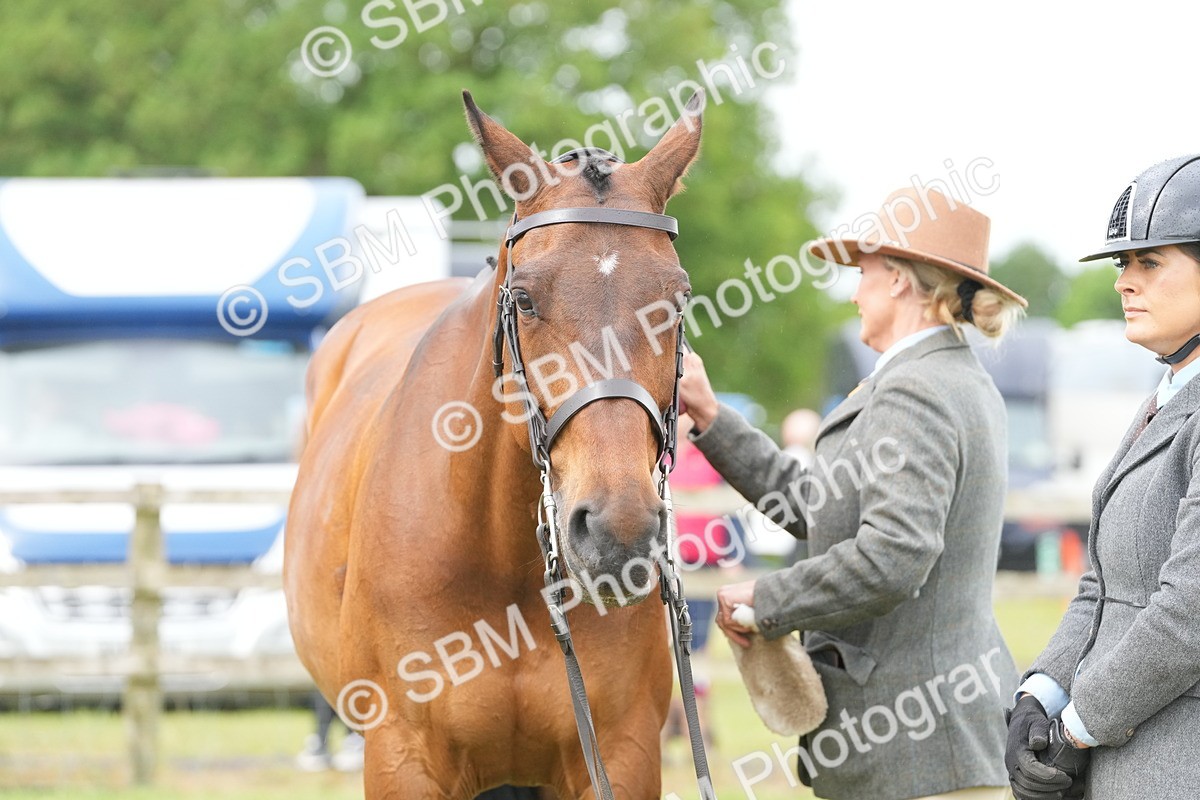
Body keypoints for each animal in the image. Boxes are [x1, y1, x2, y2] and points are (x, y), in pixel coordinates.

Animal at [284, 89, 704, 798]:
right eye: (525, 299)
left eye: (677, 301)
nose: (618, 531)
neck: (502, 561)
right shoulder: (403, 757)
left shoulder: (620, 754)